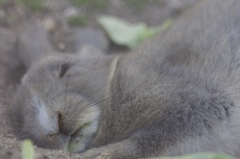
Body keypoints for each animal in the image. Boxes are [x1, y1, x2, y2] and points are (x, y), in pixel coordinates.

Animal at [11, 0, 240, 158]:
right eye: (26, 120)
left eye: (64, 68)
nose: (53, 125)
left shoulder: (197, 107)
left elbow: (145, 143)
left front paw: (97, 155)